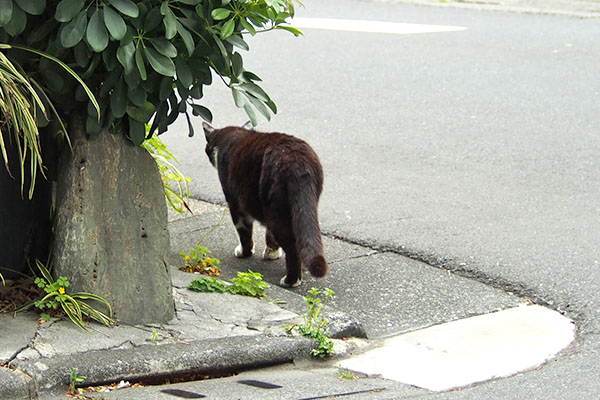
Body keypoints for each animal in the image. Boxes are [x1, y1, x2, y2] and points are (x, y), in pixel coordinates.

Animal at [205, 122, 328, 288]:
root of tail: (298, 162)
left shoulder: (236, 203)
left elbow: (244, 232)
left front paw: (244, 252)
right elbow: (268, 235)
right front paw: (272, 253)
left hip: (275, 209)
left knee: (292, 246)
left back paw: (291, 280)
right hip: (293, 207)